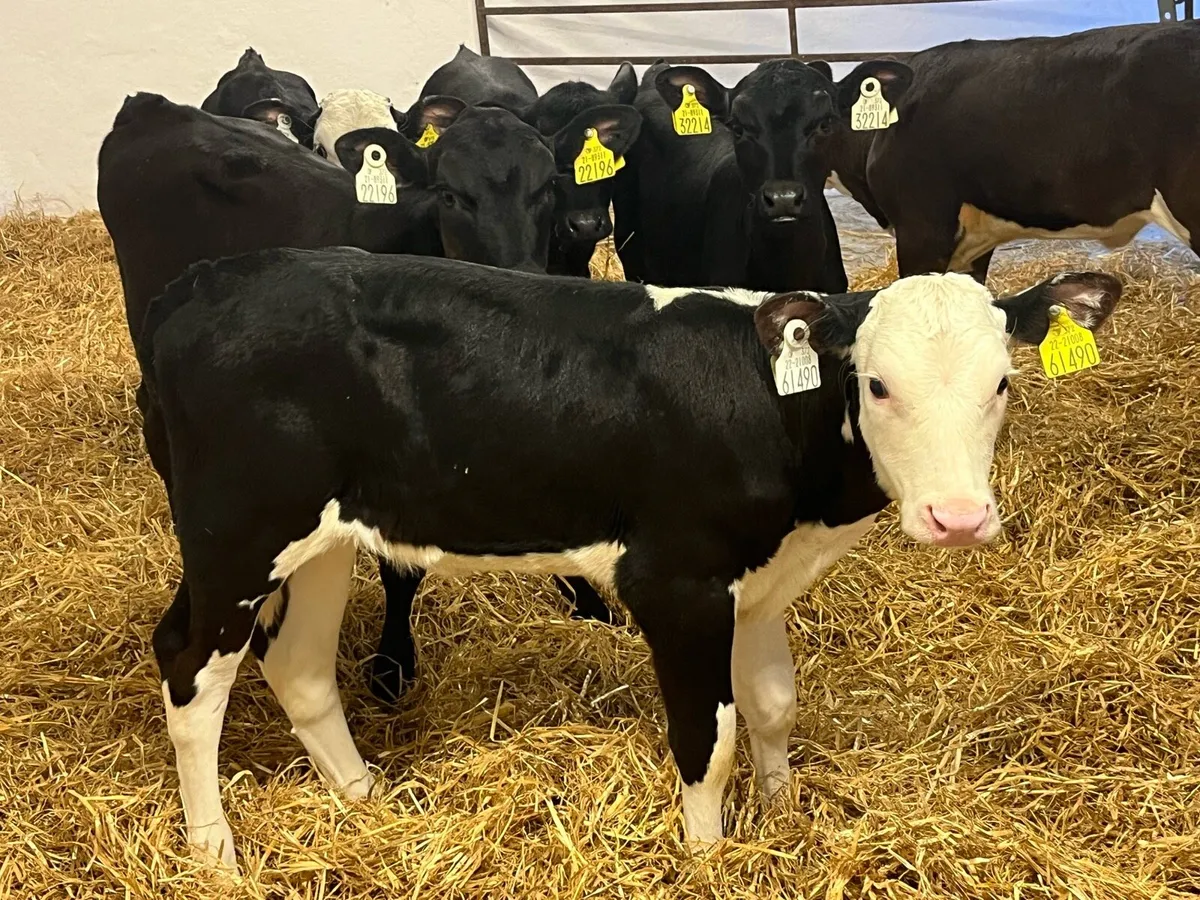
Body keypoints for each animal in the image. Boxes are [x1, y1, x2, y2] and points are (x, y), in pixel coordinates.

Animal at [136, 245, 1121, 869]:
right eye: (876, 385)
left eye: (1003, 382)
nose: (959, 517)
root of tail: (204, 281)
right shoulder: (677, 582)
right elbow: (708, 739)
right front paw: (708, 854)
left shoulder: (757, 583)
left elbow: (772, 704)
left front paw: (785, 814)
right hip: (235, 534)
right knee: (188, 668)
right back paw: (215, 852)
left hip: (321, 539)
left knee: (298, 666)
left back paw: (363, 801)